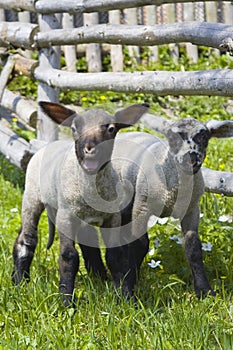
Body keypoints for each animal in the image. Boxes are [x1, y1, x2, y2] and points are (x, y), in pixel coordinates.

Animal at [11, 101, 148, 306]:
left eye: (111, 128)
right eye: (75, 128)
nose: (90, 149)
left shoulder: (113, 217)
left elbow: (115, 256)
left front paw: (125, 298)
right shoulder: (66, 217)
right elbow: (69, 257)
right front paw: (67, 302)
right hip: (32, 195)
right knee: (26, 238)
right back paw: (20, 282)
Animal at [78, 117, 233, 300]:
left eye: (204, 137)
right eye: (172, 137)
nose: (191, 159)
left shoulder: (192, 209)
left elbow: (193, 247)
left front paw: (205, 291)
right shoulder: (142, 207)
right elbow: (139, 245)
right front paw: (128, 291)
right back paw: (100, 273)